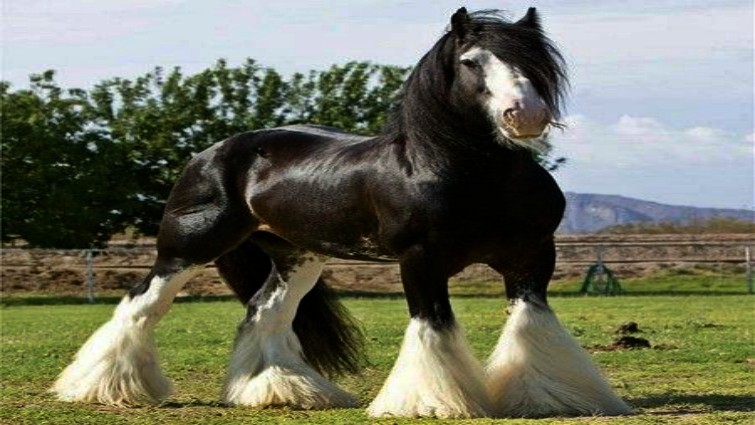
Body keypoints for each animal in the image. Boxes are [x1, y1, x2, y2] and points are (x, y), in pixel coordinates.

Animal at [52, 7, 632, 418]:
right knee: (139, 306)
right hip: (186, 248)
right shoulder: (420, 261)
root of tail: (211, 153)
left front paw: (555, 399)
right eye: (472, 63)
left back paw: (281, 392)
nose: (525, 115)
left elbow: (533, 328)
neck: (465, 173)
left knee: (263, 312)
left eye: (534, 64)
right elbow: (432, 329)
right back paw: (99, 388)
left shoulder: (531, 258)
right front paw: (429, 402)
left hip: (297, 257)